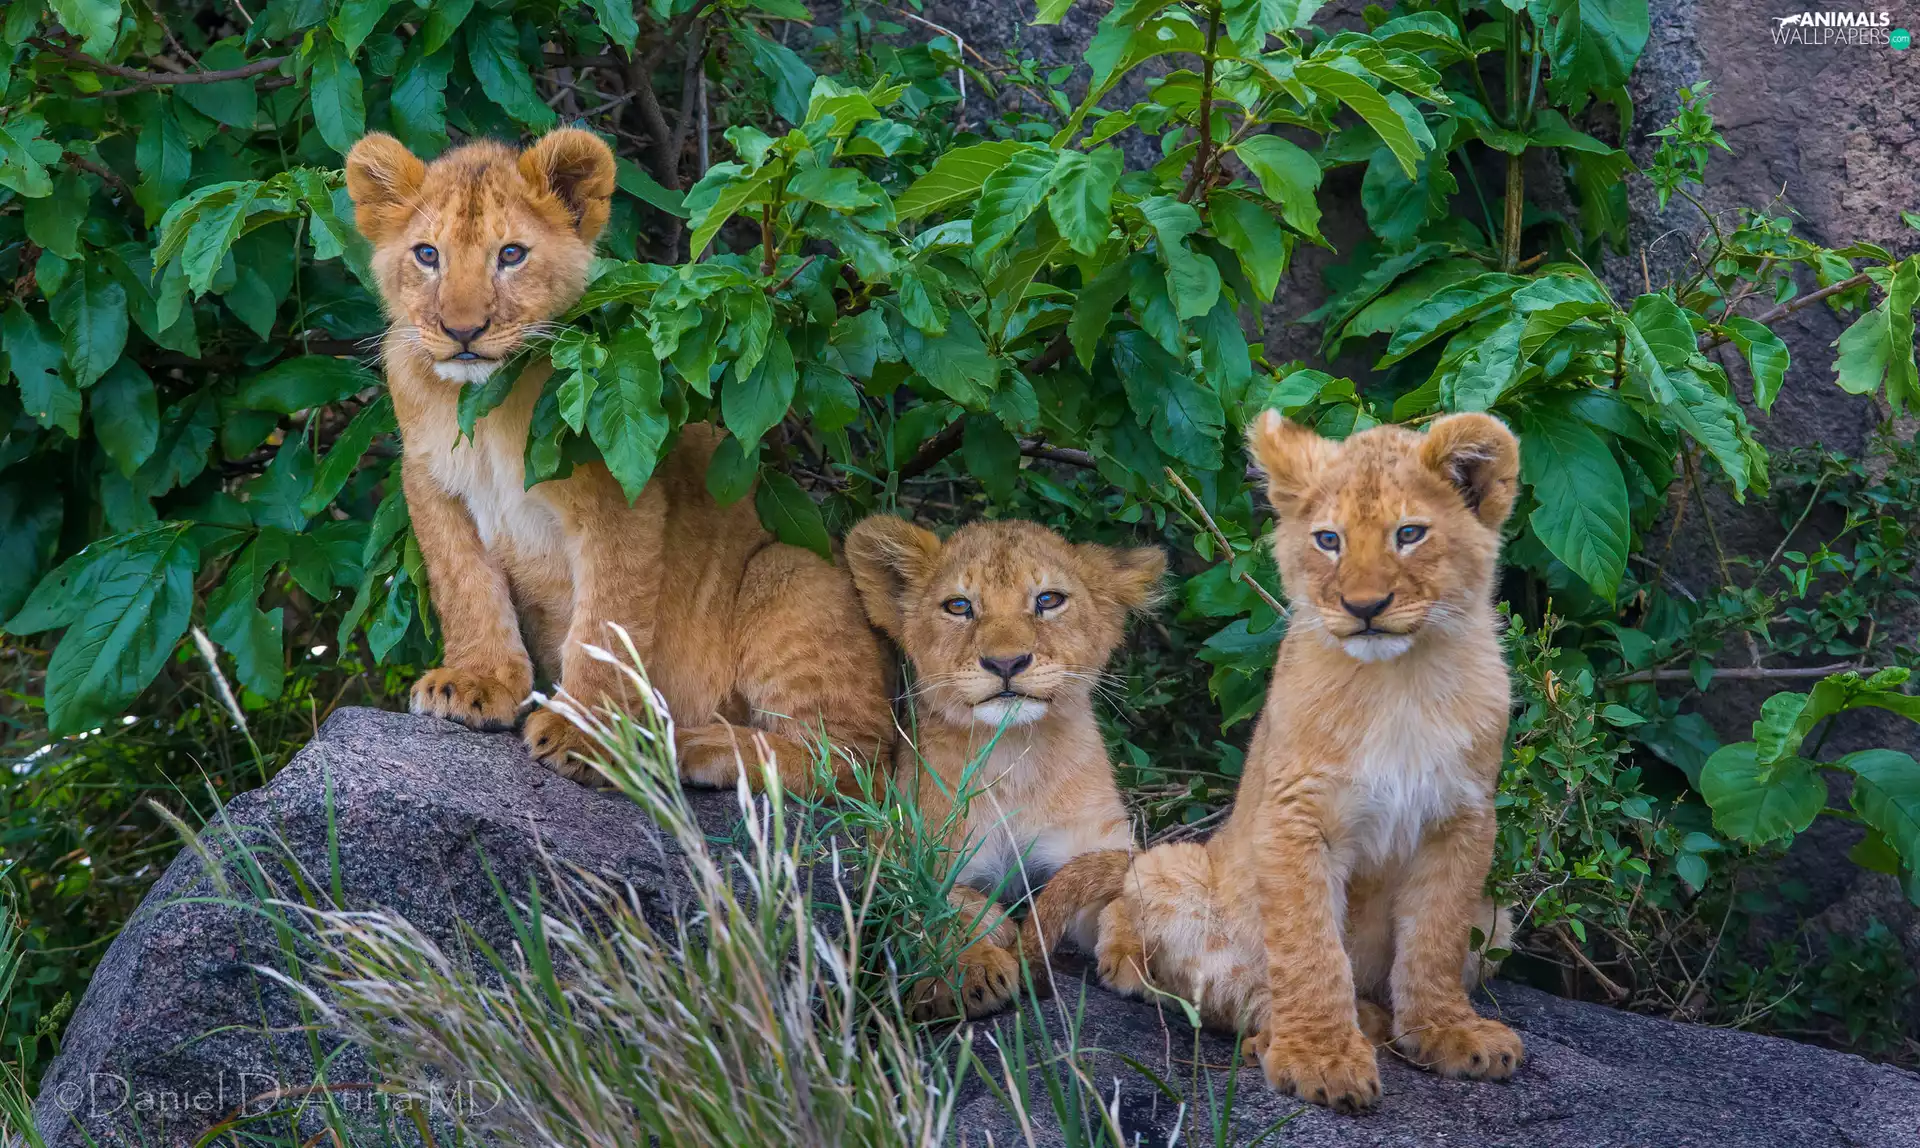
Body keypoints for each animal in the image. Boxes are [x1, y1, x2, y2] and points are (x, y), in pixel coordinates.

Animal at [343, 129, 891, 790]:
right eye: (427, 255)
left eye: (511, 255)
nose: (462, 331)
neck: (479, 406)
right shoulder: (431, 485)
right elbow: (466, 587)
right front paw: (478, 683)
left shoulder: (622, 499)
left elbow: (605, 625)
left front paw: (583, 734)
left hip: (788, 573)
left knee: (862, 763)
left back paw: (699, 748)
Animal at [844, 516, 1164, 1020]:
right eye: (959, 606)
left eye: (1048, 600)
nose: (1006, 662)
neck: (1014, 756)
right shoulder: (899, 852)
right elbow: (944, 901)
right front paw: (975, 968)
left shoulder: (1093, 840)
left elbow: (1130, 886)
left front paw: (1150, 958)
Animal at [1021, 412, 1523, 1111]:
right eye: (1329, 540)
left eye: (1410, 534)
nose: (1363, 607)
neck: (1400, 680)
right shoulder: (1295, 816)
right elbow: (1309, 948)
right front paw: (1320, 1057)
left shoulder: (1463, 820)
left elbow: (1436, 939)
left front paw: (1449, 1033)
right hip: (1173, 872)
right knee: (1184, 976)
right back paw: (1314, 1026)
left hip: (1497, 917)